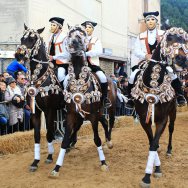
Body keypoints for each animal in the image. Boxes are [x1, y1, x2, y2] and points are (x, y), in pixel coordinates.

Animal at [20, 24, 65, 171]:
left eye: (33, 39)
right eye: (22, 38)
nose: (18, 54)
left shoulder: (50, 110)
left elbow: (50, 133)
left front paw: (50, 156)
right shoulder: (36, 111)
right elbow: (37, 135)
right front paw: (35, 161)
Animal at [48, 25, 116, 178]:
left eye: (82, 35)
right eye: (70, 34)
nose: (75, 44)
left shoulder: (92, 116)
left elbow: (97, 139)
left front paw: (103, 164)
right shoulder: (71, 114)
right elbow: (64, 140)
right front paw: (56, 168)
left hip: (109, 108)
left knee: (110, 121)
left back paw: (109, 142)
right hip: (96, 112)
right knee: (104, 121)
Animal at [131, 27, 188, 187]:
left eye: (185, 40)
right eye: (168, 38)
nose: (182, 59)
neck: (153, 84)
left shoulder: (162, 119)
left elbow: (155, 142)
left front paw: (150, 174)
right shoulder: (144, 119)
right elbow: (152, 142)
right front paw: (154, 168)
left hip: (173, 113)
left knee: (171, 129)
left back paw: (168, 150)